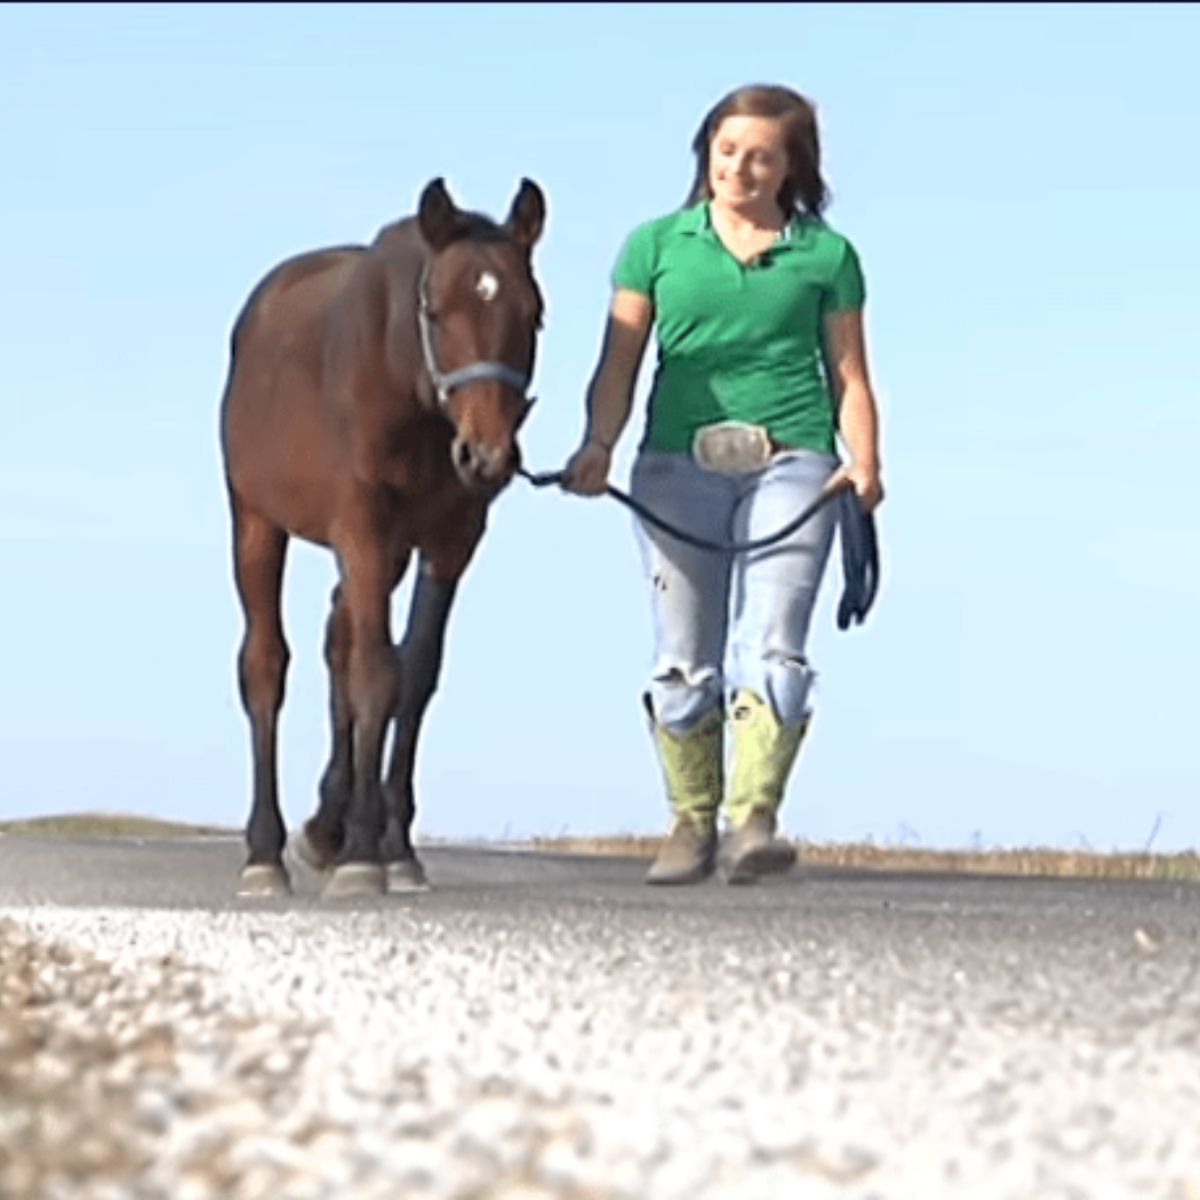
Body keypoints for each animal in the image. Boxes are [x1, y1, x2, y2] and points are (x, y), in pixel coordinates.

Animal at [218, 174, 547, 897]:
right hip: (257, 524)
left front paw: (393, 847)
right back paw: (266, 852)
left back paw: (325, 826)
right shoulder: (362, 529)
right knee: (266, 666)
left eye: (533, 313)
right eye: (437, 310)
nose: (487, 456)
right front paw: (365, 853)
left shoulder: (448, 542)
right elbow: (376, 672)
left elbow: (414, 673)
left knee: (337, 642)